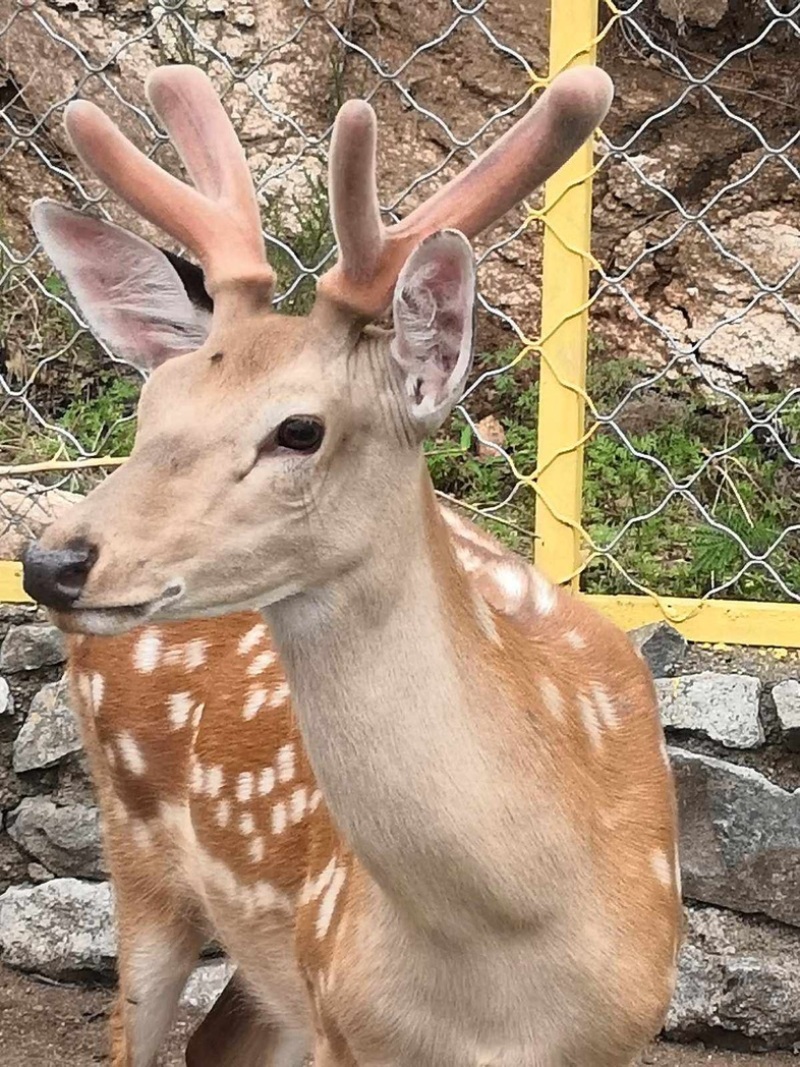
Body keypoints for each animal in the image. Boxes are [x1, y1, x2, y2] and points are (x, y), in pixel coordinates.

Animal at [21, 64, 678, 1067]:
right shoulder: (343, 1008)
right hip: (139, 846)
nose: (51, 557)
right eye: (152, 405)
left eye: (300, 428)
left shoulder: (623, 1031)